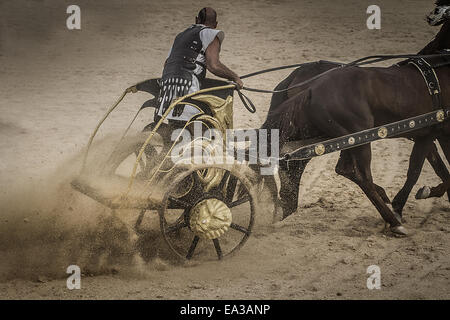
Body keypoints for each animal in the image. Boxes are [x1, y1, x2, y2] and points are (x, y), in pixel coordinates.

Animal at [260, 1, 450, 235]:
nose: (432, 16)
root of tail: (304, 84)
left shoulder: (436, 134)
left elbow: (441, 169)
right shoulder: (428, 133)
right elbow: (419, 170)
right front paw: (402, 205)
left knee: (302, 164)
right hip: (355, 136)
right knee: (357, 174)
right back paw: (393, 220)